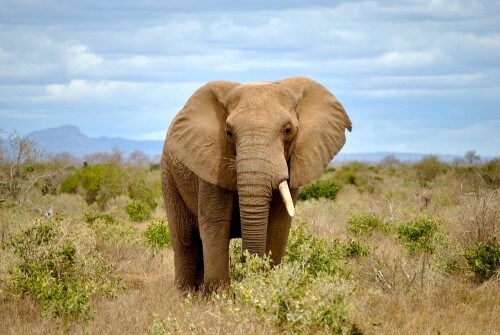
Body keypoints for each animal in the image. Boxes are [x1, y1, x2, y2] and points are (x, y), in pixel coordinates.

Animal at [161, 76, 352, 292]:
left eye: (288, 130)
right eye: (228, 132)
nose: (248, 274)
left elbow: (279, 225)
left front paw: (266, 286)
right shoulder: (211, 164)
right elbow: (215, 223)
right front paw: (221, 295)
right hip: (169, 176)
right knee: (186, 241)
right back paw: (185, 295)